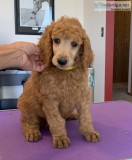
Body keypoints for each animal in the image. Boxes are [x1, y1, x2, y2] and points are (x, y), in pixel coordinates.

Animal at [17, 16, 100, 149]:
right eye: (56, 40)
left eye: (74, 44)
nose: (61, 61)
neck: (65, 72)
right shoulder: (49, 99)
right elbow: (56, 120)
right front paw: (60, 138)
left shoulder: (82, 94)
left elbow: (86, 115)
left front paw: (89, 131)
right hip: (26, 107)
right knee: (28, 122)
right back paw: (32, 131)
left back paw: (72, 115)